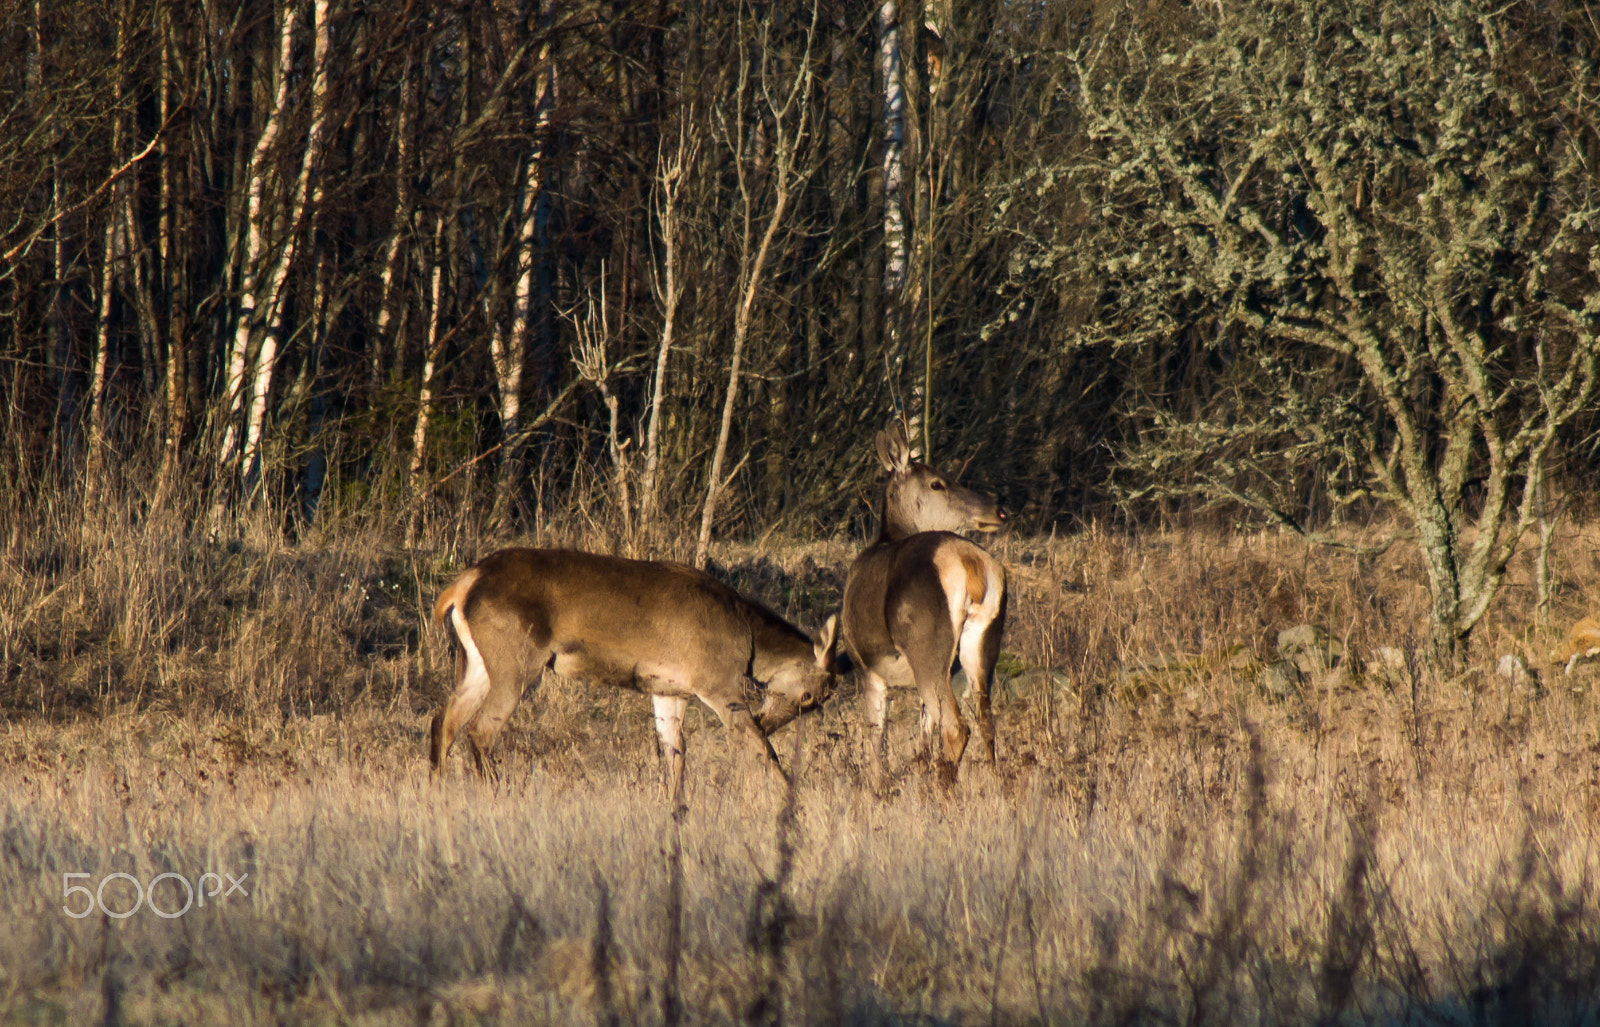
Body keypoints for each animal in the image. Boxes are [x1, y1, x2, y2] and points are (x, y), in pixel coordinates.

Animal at [432, 543, 844, 799]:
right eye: (809, 696)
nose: (769, 721)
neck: (748, 638)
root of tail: (461, 586)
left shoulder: (669, 688)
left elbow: (675, 753)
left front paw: (675, 807)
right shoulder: (716, 681)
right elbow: (760, 748)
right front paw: (791, 799)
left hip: (478, 659)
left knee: (445, 719)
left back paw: (438, 789)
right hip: (518, 656)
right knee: (480, 728)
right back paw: (496, 791)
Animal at [844, 422, 1004, 783]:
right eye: (937, 482)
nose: (998, 510)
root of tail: (969, 563)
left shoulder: (864, 664)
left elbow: (876, 741)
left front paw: (878, 788)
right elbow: (922, 738)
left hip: (925, 644)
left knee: (957, 728)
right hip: (980, 645)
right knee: (986, 724)